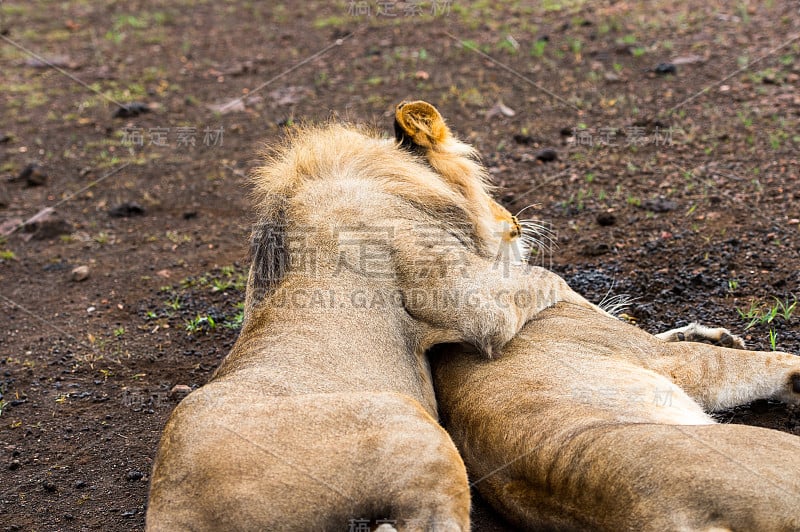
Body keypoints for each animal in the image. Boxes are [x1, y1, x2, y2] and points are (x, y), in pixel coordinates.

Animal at [145, 102, 608, 528]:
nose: (512, 220)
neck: (392, 181)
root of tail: (175, 514)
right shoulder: (469, 300)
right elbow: (548, 278)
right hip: (408, 422)